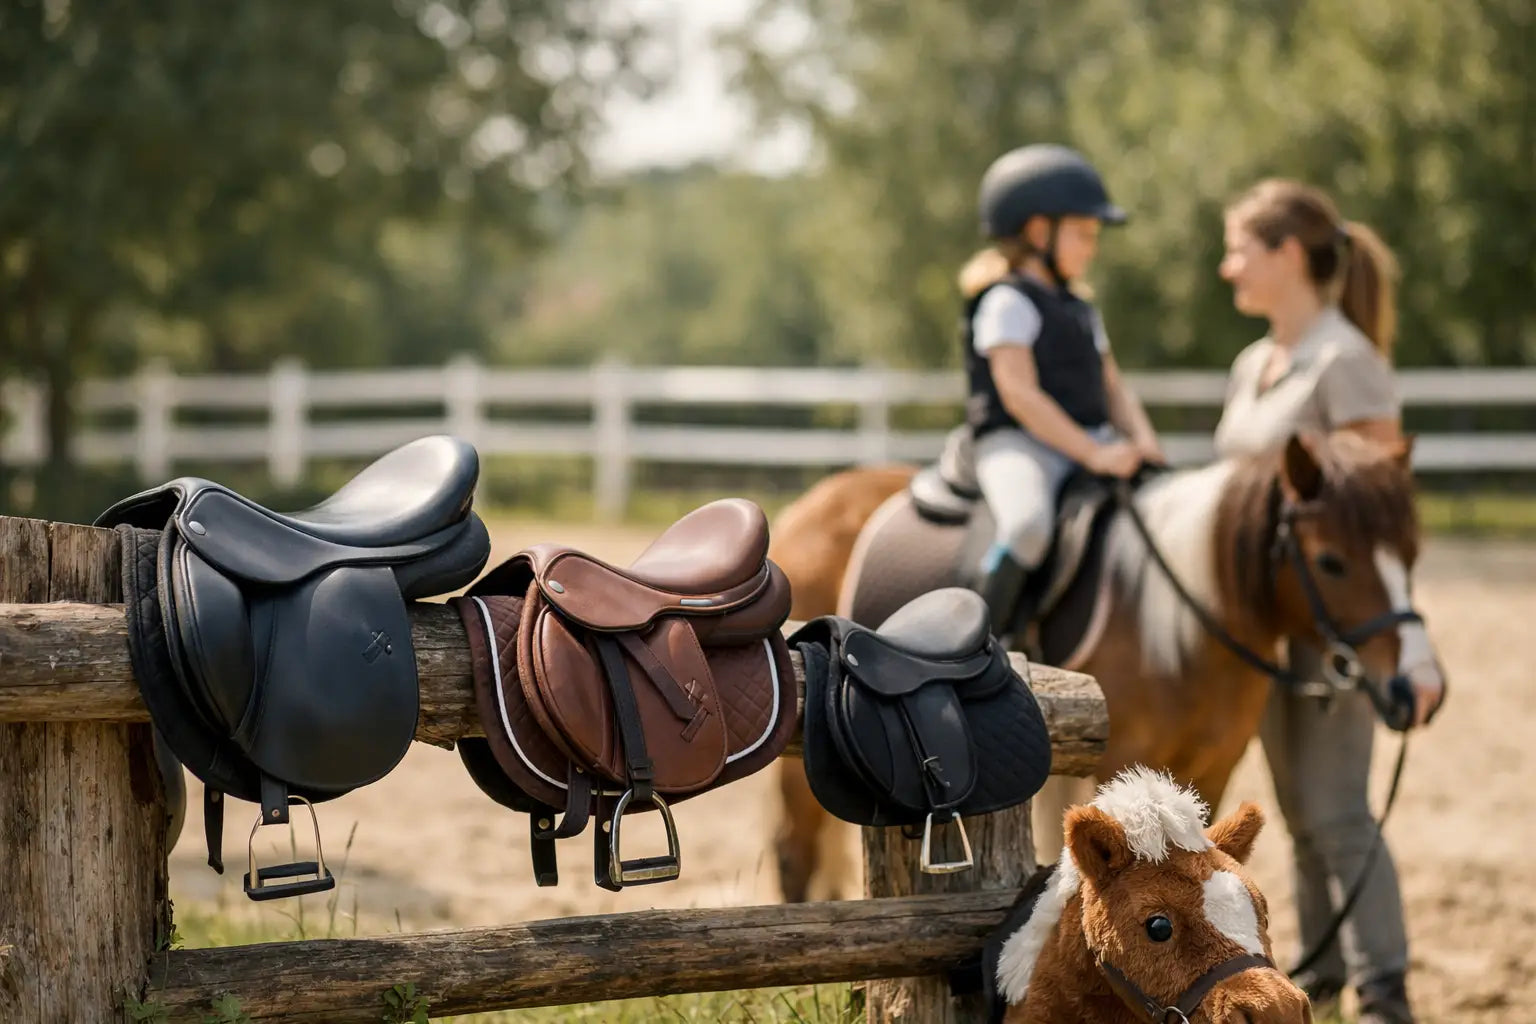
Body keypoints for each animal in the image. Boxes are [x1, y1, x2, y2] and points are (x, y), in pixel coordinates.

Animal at [769, 429, 1444, 902]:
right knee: (794, 852)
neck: (1174, 621)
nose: (1421, 688)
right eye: (1331, 561)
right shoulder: (1119, 765)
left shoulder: (1214, 768)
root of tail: (810, 505)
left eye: (1413, 553)